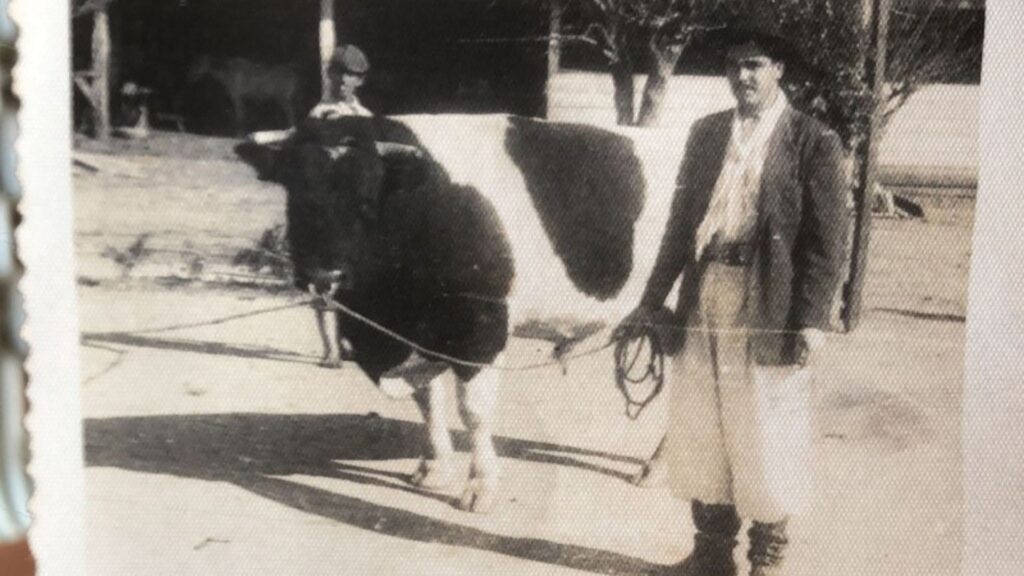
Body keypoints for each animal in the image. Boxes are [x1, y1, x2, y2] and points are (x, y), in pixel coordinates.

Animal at [236, 112, 688, 510]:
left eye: (366, 198)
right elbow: (428, 402)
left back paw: (656, 468)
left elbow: (473, 412)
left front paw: (480, 487)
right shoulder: (423, 335)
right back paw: (656, 467)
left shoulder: (480, 329)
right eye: (295, 193)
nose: (322, 273)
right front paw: (435, 468)